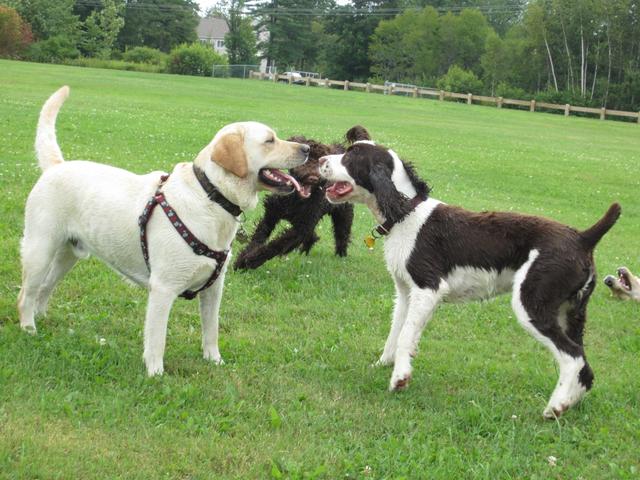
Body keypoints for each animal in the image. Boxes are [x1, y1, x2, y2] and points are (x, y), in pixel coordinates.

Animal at [18, 88, 308, 376]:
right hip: (39, 250)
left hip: (69, 255)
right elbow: (157, 338)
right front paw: (155, 373)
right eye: (270, 140)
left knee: (45, 288)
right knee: (26, 294)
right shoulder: (163, 288)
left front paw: (214, 361)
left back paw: (43, 319)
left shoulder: (215, 288)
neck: (211, 196)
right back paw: (28, 328)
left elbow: (211, 330)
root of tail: (57, 165)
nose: (306, 148)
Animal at [320, 137, 620, 418]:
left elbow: (405, 335)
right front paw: (385, 364)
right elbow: (397, 330)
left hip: (532, 304)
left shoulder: (428, 288)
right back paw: (569, 403)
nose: (321, 159)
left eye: (351, 156)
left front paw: (400, 378)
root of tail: (583, 237)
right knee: (584, 365)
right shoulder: (405, 292)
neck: (406, 214)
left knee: (573, 357)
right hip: (570, 312)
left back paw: (555, 407)